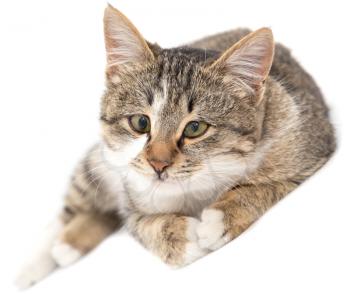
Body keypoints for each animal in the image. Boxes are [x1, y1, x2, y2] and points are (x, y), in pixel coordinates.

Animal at [15, 4, 334, 290]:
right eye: (140, 122)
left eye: (195, 128)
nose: (158, 164)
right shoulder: (130, 195)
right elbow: (142, 224)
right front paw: (181, 237)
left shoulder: (310, 148)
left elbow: (266, 186)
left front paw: (220, 217)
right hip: (98, 161)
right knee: (70, 208)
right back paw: (42, 258)